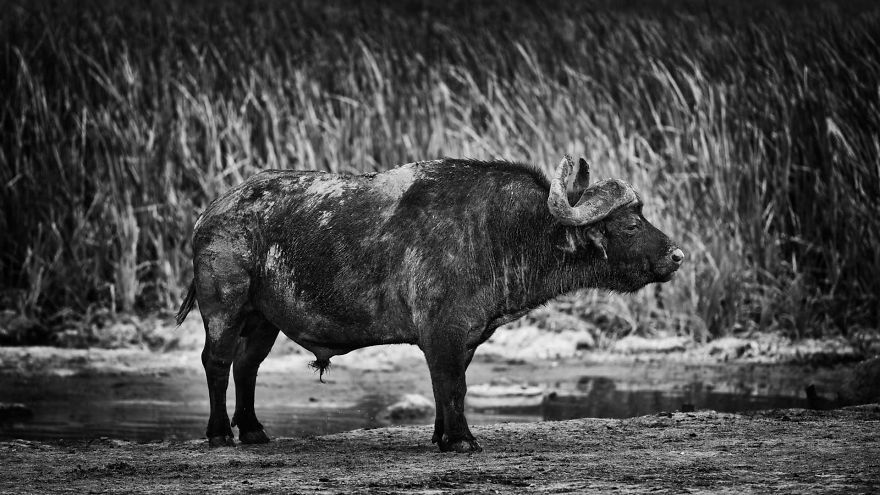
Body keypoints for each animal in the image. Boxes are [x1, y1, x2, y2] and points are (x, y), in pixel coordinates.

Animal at [176, 155, 684, 452]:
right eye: (632, 224)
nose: (676, 255)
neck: (499, 231)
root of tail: (212, 213)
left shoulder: (463, 338)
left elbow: (447, 386)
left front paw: (442, 436)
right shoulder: (443, 332)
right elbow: (452, 385)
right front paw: (461, 441)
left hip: (264, 320)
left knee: (247, 365)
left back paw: (253, 430)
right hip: (224, 308)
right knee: (216, 362)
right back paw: (220, 434)